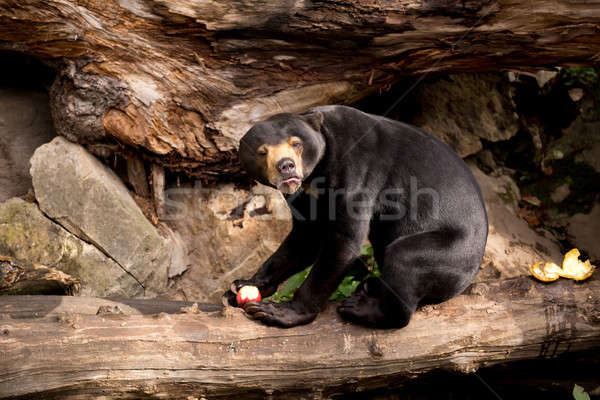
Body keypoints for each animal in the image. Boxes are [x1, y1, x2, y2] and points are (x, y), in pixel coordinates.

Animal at [223, 105, 486, 328]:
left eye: (296, 143)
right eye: (262, 151)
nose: (286, 166)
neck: (317, 174)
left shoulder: (356, 170)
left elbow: (344, 240)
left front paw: (279, 312)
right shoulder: (303, 194)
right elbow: (304, 238)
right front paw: (243, 285)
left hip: (451, 251)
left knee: (406, 259)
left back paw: (360, 308)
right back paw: (369, 287)